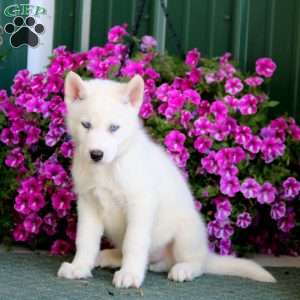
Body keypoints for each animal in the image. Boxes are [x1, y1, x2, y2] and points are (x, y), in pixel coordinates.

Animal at [57, 71, 276, 288]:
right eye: (86, 125)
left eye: (114, 128)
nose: (96, 154)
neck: (109, 167)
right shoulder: (88, 203)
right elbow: (85, 240)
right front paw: (79, 267)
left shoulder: (141, 203)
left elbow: (134, 242)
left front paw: (130, 274)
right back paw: (111, 257)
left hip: (186, 234)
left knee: (196, 264)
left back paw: (183, 269)